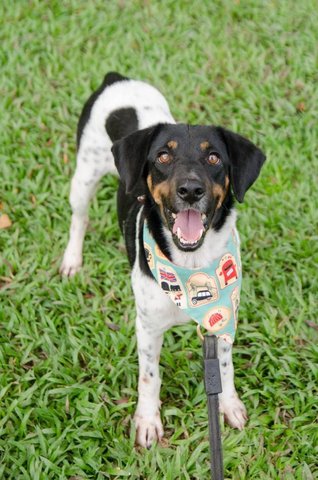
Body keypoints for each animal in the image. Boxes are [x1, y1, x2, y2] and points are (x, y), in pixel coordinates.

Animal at [60, 71, 266, 446]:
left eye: (214, 158)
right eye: (163, 157)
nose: (190, 190)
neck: (191, 266)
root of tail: (117, 79)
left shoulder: (221, 321)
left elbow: (225, 369)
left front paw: (229, 404)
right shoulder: (147, 327)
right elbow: (149, 377)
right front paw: (147, 420)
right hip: (83, 177)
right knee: (78, 218)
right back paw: (72, 259)